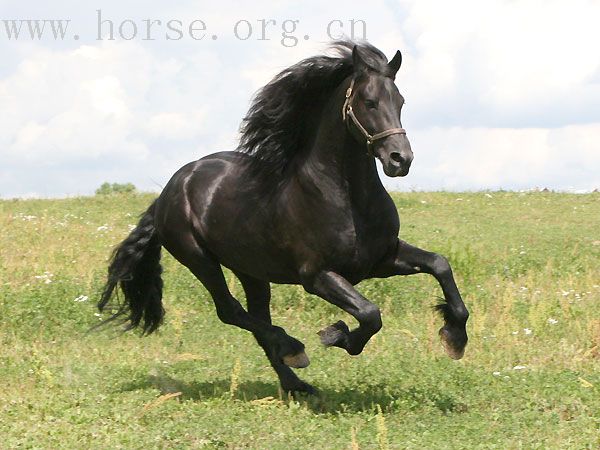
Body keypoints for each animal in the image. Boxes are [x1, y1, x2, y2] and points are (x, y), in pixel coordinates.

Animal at [99, 41, 468, 394]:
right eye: (369, 101)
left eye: (401, 101)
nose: (399, 160)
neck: (345, 198)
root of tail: (170, 189)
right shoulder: (317, 275)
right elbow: (370, 314)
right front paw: (337, 335)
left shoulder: (380, 259)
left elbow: (439, 264)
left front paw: (455, 338)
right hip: (199, 259)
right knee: (231, 311)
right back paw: (293, 348)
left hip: (251, 270)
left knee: (255, 319)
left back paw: (296, 383)